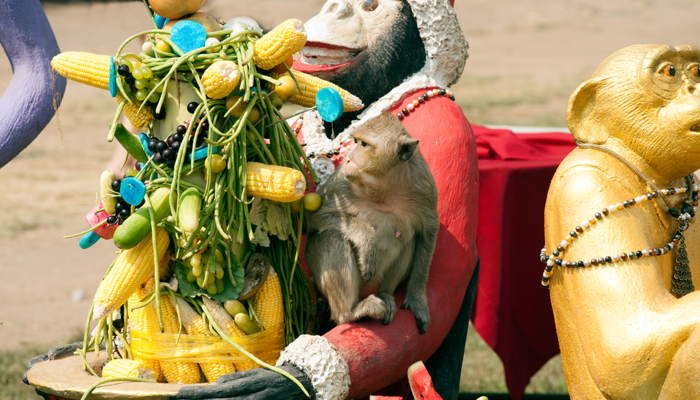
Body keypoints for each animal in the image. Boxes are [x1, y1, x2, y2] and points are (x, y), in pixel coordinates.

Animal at [304, 111, 438, 332]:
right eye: (356, 141)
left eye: (364, 145)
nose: (349, 158)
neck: (383, 184)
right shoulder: (342, 180)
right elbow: (316, 218)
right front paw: (367, 239)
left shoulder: (424, 184)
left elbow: (428, 231)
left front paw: (417, 299)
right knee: (331, 238)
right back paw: (350, 312)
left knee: (409, 241)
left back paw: (385, 295)